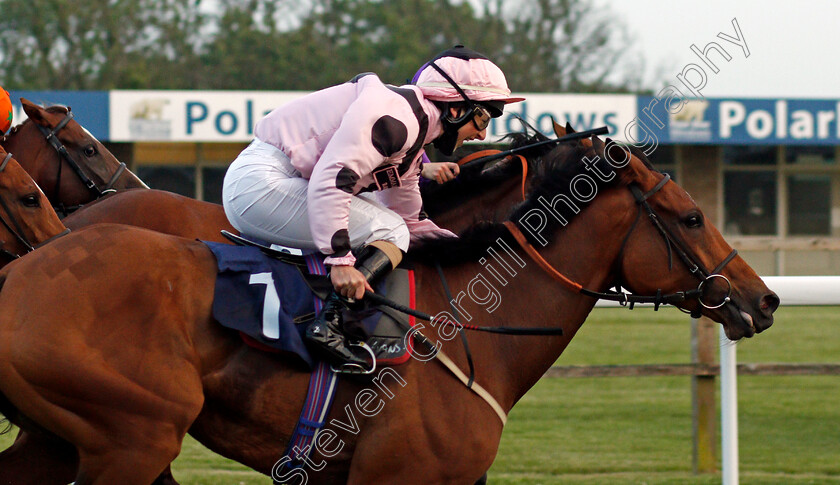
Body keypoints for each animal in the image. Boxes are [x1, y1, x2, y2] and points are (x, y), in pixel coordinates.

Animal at [0, 130, 776, 482]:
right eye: (692, 217)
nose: (762, 298)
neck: (470, 323)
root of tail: (21, 274)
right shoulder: (402, 474)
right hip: (134, 435)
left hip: (64, 436)